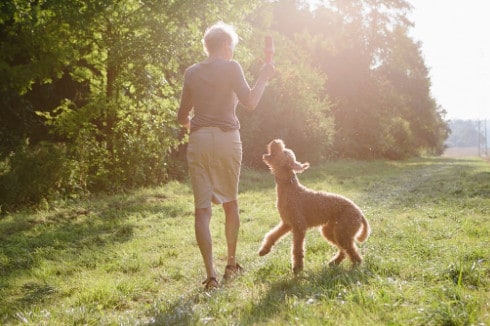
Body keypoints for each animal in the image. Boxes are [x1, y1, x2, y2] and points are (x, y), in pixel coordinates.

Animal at [258, 138, 370, 272]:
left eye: (284, 152)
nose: (276, 141)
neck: (290, 188)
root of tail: (360, 213)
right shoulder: (287, 224)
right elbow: (272, 235)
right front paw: (264, 250)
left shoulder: (299, 227)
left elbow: (297, 249)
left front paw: (297, 268)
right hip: (331, 231)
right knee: (344, 250)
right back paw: (334, 262)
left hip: (342, 232)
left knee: (352, 251)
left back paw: (354, 266)